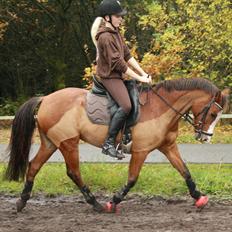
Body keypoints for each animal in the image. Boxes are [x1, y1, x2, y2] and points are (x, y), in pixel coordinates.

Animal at [3, 77, 228, 212]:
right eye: (213, 114)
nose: (206, 137)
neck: (161, 108)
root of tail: (46, 99)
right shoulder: (140, 151)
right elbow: (132, 178)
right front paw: (114, 201)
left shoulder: (168, 147)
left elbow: (185, 171)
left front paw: (199, 198)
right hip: (68, 143)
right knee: (73, 172)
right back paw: (96, 204)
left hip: (51, 143)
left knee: (34, 166)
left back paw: (22, 202)